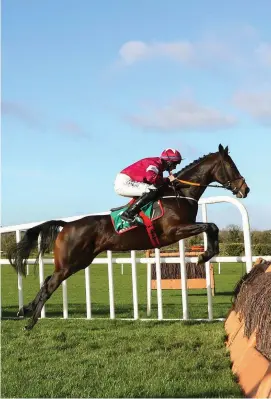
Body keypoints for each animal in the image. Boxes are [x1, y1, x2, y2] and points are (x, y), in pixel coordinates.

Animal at [7, 145, 251, 332]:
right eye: (232, 166)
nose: (245, 189)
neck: (179, 194)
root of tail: (67, 225)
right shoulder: (174, 230)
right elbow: (211, 226)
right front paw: (205, 255)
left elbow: (212, 227)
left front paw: (207, 254)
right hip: (70, 263)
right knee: (49, 285)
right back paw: (30, 322)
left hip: (79, 262)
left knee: (47, 281)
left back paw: (26, 309)